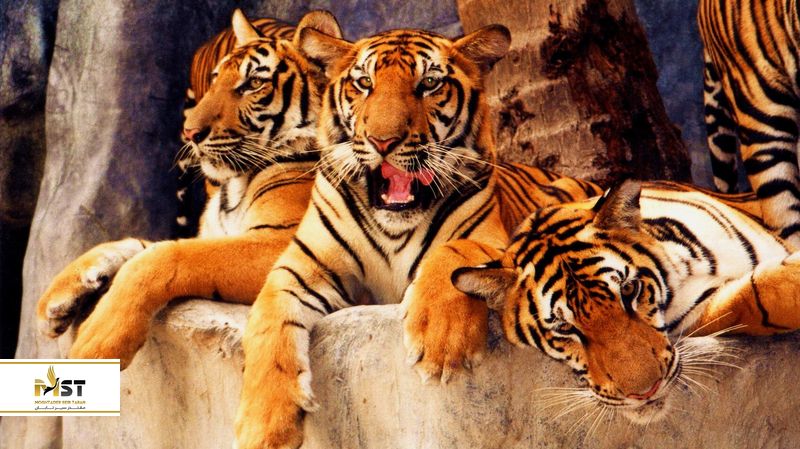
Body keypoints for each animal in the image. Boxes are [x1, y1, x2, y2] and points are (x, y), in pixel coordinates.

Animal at [35, 9, 342, 367]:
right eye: (216, 78)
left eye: (254, 83)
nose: (190, 132)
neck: (237, 184)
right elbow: (137, 245)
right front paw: (53, 303)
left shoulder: (282, 244)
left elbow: (164, 256)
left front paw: (96, 344)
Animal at [233, 24, 602, 449]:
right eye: (364, 83)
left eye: (428, 84)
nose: (383, 141)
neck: (393, 225)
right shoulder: (299, 268)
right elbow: (267, 330)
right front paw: (263, 427)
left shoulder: (495, 242)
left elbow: (453, 251)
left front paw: (441, 341)